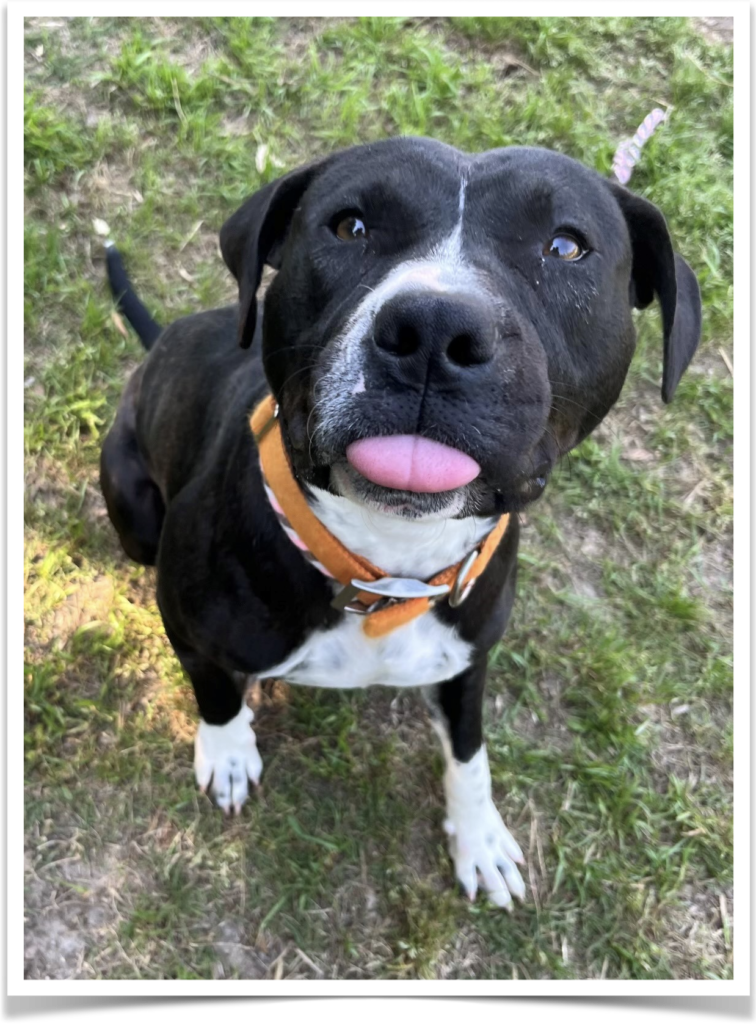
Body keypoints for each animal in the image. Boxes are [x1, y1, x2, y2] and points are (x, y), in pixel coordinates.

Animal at [100, 134, 700, 905]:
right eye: (350, 226)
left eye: (566, 246)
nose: (435, 329)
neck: (388, 567)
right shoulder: (190, 628)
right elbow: (214, 695)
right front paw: (229, 751)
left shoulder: (469, 660)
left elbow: (471, 752)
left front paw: (479, 837)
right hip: (134, 505)